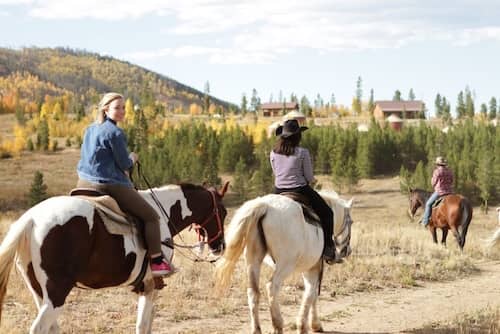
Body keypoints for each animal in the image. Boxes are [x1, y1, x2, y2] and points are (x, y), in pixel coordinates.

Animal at [0, 183, 229, 334]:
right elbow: (143, 325)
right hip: (58, 292)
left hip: (39, 291)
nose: (220, 246)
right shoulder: (150, 285)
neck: (162, 213)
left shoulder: (148, 286)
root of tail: (31, 219)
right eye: (224, 212)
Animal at [214, 190, 352, 334]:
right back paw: (278, 325)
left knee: (253, 292)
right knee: (271, 287)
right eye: (351, 222)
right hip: (285, 265)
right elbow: (311, 293)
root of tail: (264, 206)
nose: (347, 251)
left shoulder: (308, 267)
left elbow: (311, 293)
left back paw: (256, 329)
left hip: (253, 261)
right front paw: (307, 325)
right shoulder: (314, 267)